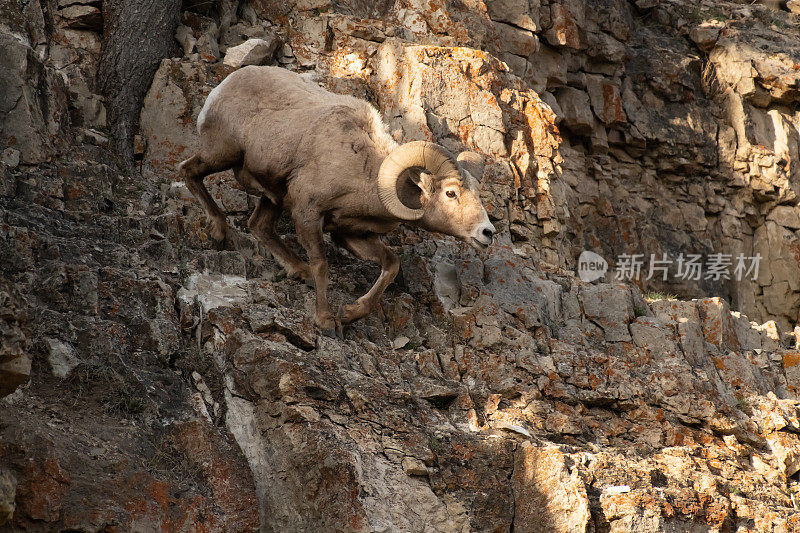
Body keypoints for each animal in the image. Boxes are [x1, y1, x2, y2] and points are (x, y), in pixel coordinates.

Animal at [179, 65, 496, 332]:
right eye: (450, 193)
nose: (487, 233)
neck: (364, 169)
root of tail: (223, 86)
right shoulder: (308, 214)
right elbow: (322, 265)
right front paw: (325, 321)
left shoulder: (351, 234)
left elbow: (391, 264)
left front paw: (349, 313)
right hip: (222, 154)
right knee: (189, 171)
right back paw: (219, 229)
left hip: (273, 197)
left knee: (259, 226)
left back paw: (299, 270)